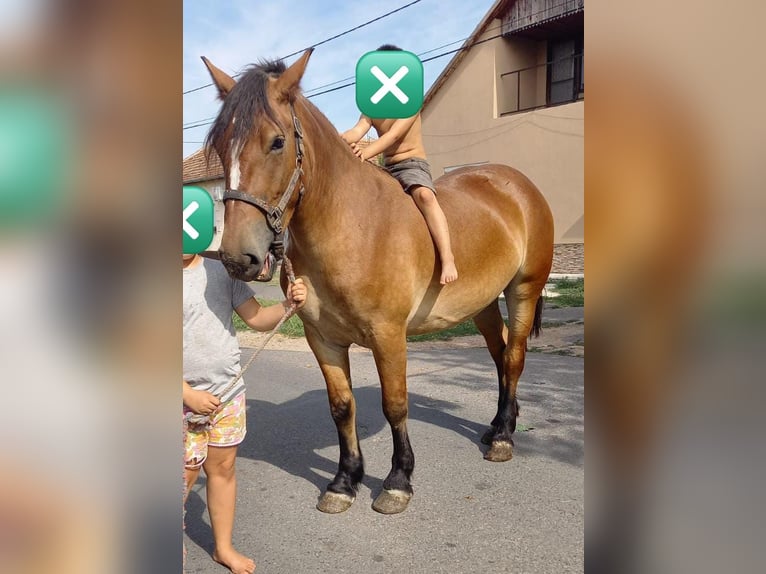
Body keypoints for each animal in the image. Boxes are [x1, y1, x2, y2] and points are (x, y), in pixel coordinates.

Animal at [201, 50, 556, 516]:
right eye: (222, 145)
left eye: (277, 142)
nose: (238, 258)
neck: (352, 228)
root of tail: (517, 184)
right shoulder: (322, 338)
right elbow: (341, 406)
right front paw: (344, 480)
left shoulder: (389, 335)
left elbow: (395, 404)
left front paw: (397, 480)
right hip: (480, 303)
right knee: (498, 355)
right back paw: (498, 424)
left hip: (523, 290)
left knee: (513, 358)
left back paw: (502, 438)